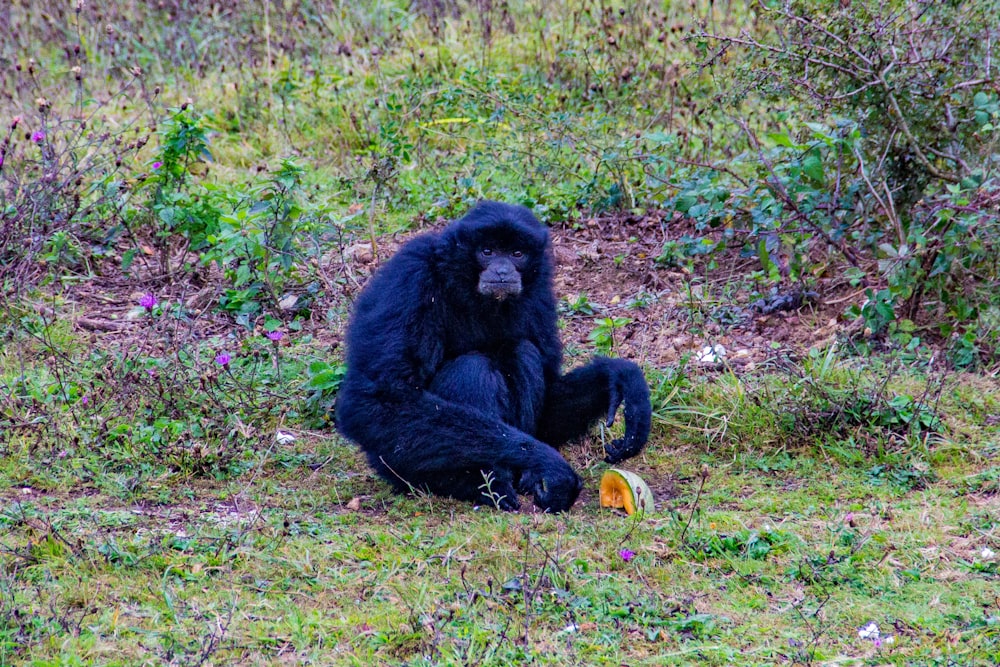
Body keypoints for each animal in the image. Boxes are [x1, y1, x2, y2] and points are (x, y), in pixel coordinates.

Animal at [336, 201, 648, 516]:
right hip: (396, 466)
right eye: (487, 251)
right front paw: (546, 461)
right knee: (471, 366)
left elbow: (550, 404)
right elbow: (380, 400)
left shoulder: (540, 292)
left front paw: (620, 378)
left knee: (521, 351)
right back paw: (488, 483)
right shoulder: (411, 276)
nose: (501, 269)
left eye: (517, 254)